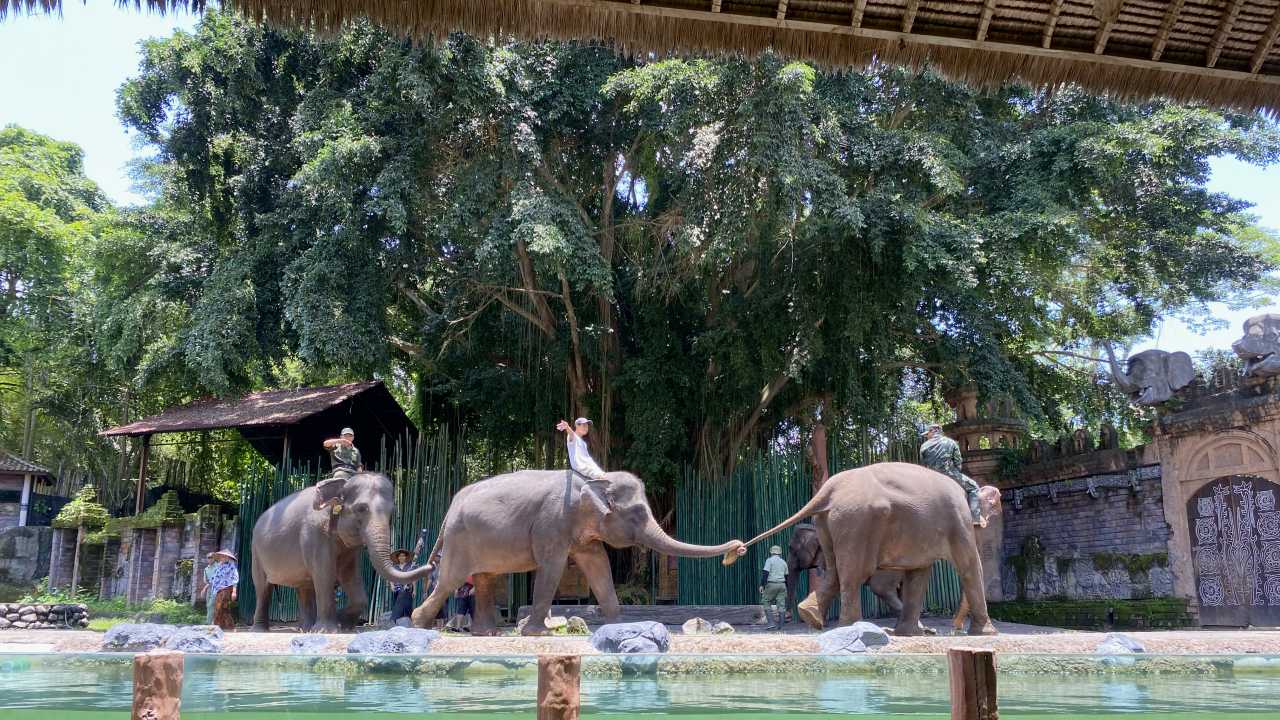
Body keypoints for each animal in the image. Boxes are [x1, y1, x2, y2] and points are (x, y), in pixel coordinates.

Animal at [249, 471, 435, 627]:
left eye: (392, 512)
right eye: (361, 509)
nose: (431, 565)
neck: (341, 484)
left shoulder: (349, 549)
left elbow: (350, 575)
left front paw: (343, 625)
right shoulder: (314, 533)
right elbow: (324, 574)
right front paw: (328, 630)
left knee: (304, 586)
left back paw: (306, 628)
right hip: (256, 551)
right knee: (263, 588)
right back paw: (260, 629)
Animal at [414, 468, 747, 630]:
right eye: (637, 513)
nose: (738, 547)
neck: (594, 480)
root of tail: (449, 508)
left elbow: (599, 566)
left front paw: (619, 627)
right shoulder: (552, 522)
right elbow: (551, 569)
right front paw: (537, 633)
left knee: (483, 579)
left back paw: (486, 633)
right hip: (460, 540)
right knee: (450, 581)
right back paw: (418, 622)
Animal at [727, 458, 993, 632]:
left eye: (793, 550)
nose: (789, 619)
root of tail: (829, 489)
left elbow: (921, 573)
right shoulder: (959, 519)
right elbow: (970, 565)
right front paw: (987, 633)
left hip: (841, 522)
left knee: (846, 574)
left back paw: (817, 618)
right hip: (857, 521)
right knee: (854, 575)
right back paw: (847, 624)